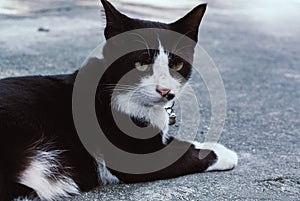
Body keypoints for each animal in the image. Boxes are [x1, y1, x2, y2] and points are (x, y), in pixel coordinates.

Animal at [0, 0, 237, 200]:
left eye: (176, 64)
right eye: (141, 64)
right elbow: (181, 153)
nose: (164, 90)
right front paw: (224, 153)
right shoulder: (132, 156)